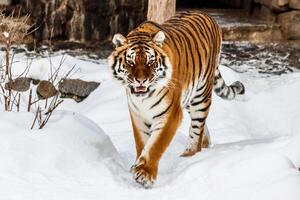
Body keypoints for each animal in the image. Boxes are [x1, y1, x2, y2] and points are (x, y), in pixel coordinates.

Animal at [107, 10, 244, 188]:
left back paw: (189, 156)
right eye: (130, 62)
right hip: (189, 98)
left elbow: (155, 145)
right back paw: (205, 144)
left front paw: (145, 173)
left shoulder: (170, 114)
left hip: (200, 95)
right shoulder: (137, 115)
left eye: (150, 62)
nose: (141, 81)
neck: (144, 98)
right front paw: (137, 166)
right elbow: (142, 143)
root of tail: (207, 14)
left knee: (196, 128)